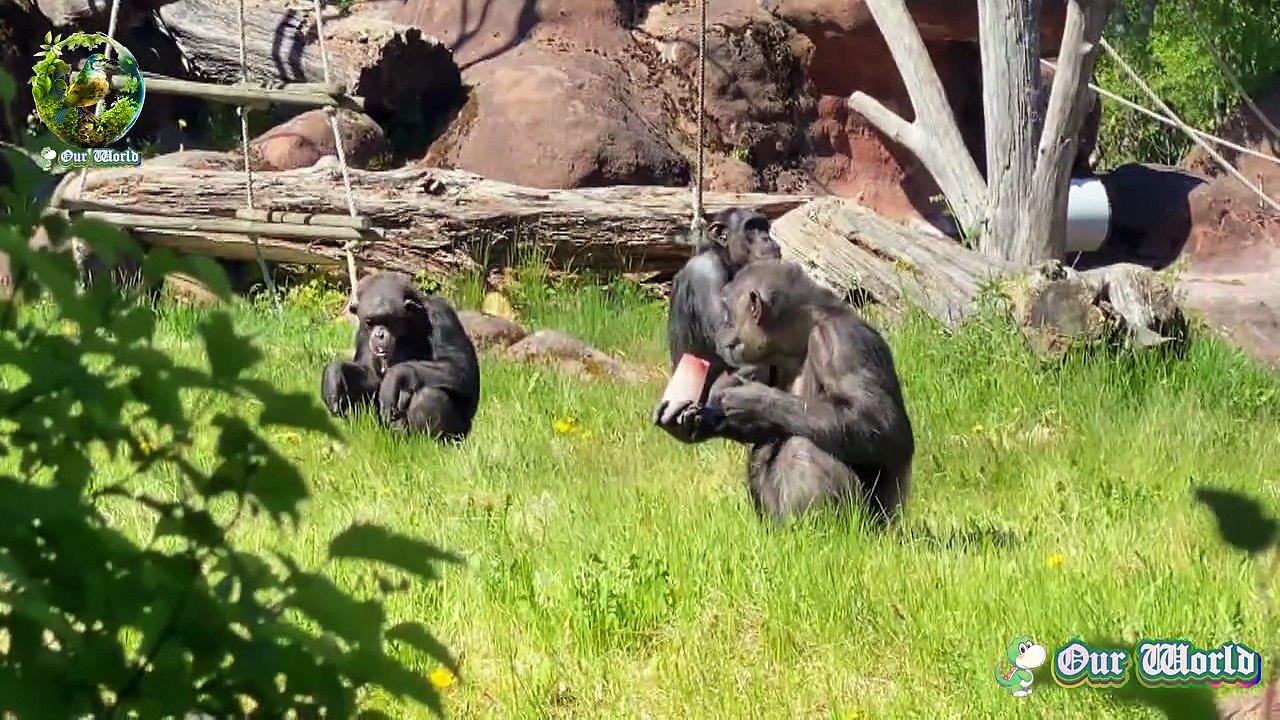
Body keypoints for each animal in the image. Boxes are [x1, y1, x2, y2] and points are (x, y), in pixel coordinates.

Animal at [321, 272, 480, 441]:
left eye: (388, 320)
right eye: (370, 322)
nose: (379, 334)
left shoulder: (442, 314)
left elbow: (458, 367)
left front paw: (395, 376)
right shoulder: (363, 331)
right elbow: (370, 372)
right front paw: (333, 373)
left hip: (459, 435)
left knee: (427, 397)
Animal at [653, 260, 915, 526]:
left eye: (727, 311)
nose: (721, 329)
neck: (799, 335)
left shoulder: (843, 342)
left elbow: (881, 424)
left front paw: (751, 400)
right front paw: (698, 421)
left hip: (871, 523)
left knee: (803, 447)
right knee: (763, 450)